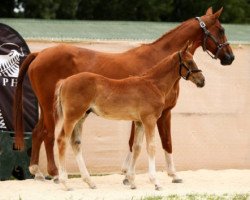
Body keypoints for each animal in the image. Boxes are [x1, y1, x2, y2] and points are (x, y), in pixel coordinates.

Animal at [54, 42, 205, 191]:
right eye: (189, 62)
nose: (202, 81)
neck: (153, 84)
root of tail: (64, 81)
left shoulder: (139, 122)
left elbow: (136, 147)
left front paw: (132, 181)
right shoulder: (149, 120)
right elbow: (151, 147)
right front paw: (155, 182)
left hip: (81, 117)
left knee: (75, 143)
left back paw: (90, 182)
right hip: (71, 117)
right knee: (62, 140)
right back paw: (65, 183)